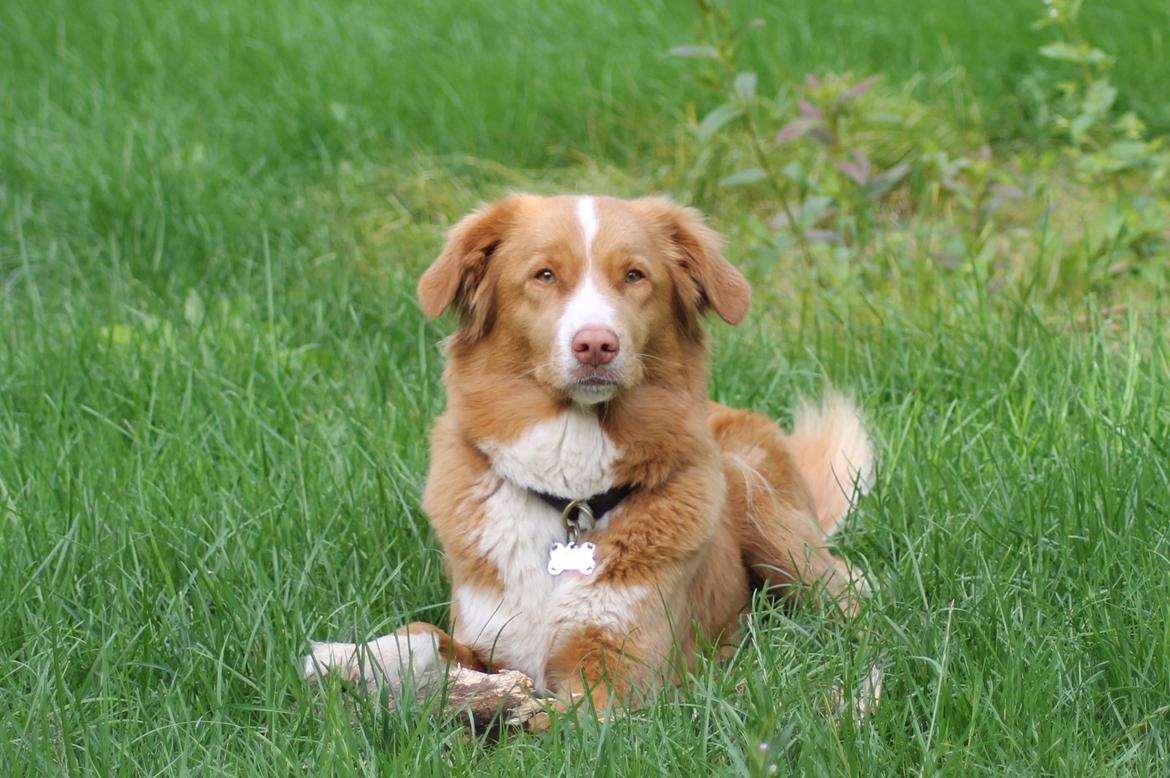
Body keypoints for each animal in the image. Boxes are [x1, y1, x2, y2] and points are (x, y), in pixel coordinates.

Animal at [306, 193, 875, 711]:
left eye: (635, 275)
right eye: (544, 275)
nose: (596, 344)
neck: (570, 498)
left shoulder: (617, 681)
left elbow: (540, 723)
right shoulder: (493, 638)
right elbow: (426, 632)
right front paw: (349, 657)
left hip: (767, 516)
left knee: (857, 596)